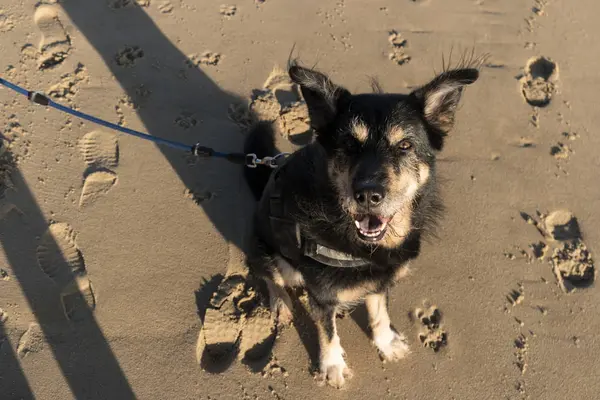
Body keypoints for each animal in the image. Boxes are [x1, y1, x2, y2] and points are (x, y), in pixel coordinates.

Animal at [243, 60, 478, 388]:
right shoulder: (323, 295)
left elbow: (380, 313)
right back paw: (281, 304)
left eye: (405, 145)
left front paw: (386, 344)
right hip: (265, 249)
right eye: (349, 144)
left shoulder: (381, 277)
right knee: (270, 275)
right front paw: (333, 366)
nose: (367, 194)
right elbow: (328, 332)